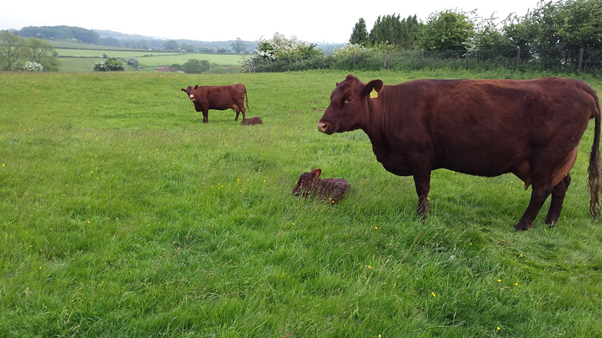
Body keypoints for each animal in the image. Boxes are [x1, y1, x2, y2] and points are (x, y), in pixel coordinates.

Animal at [316, 74, 596, 231]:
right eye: (331, 96)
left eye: (349, 99)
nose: (322, 124)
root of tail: (575, 83)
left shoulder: (420, 156)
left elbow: (422, 189)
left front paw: (422, 217)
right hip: (559, 160)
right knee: (561, 186)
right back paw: (551, 222)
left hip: (547, 158)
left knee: (541, 191)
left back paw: (523, 225)